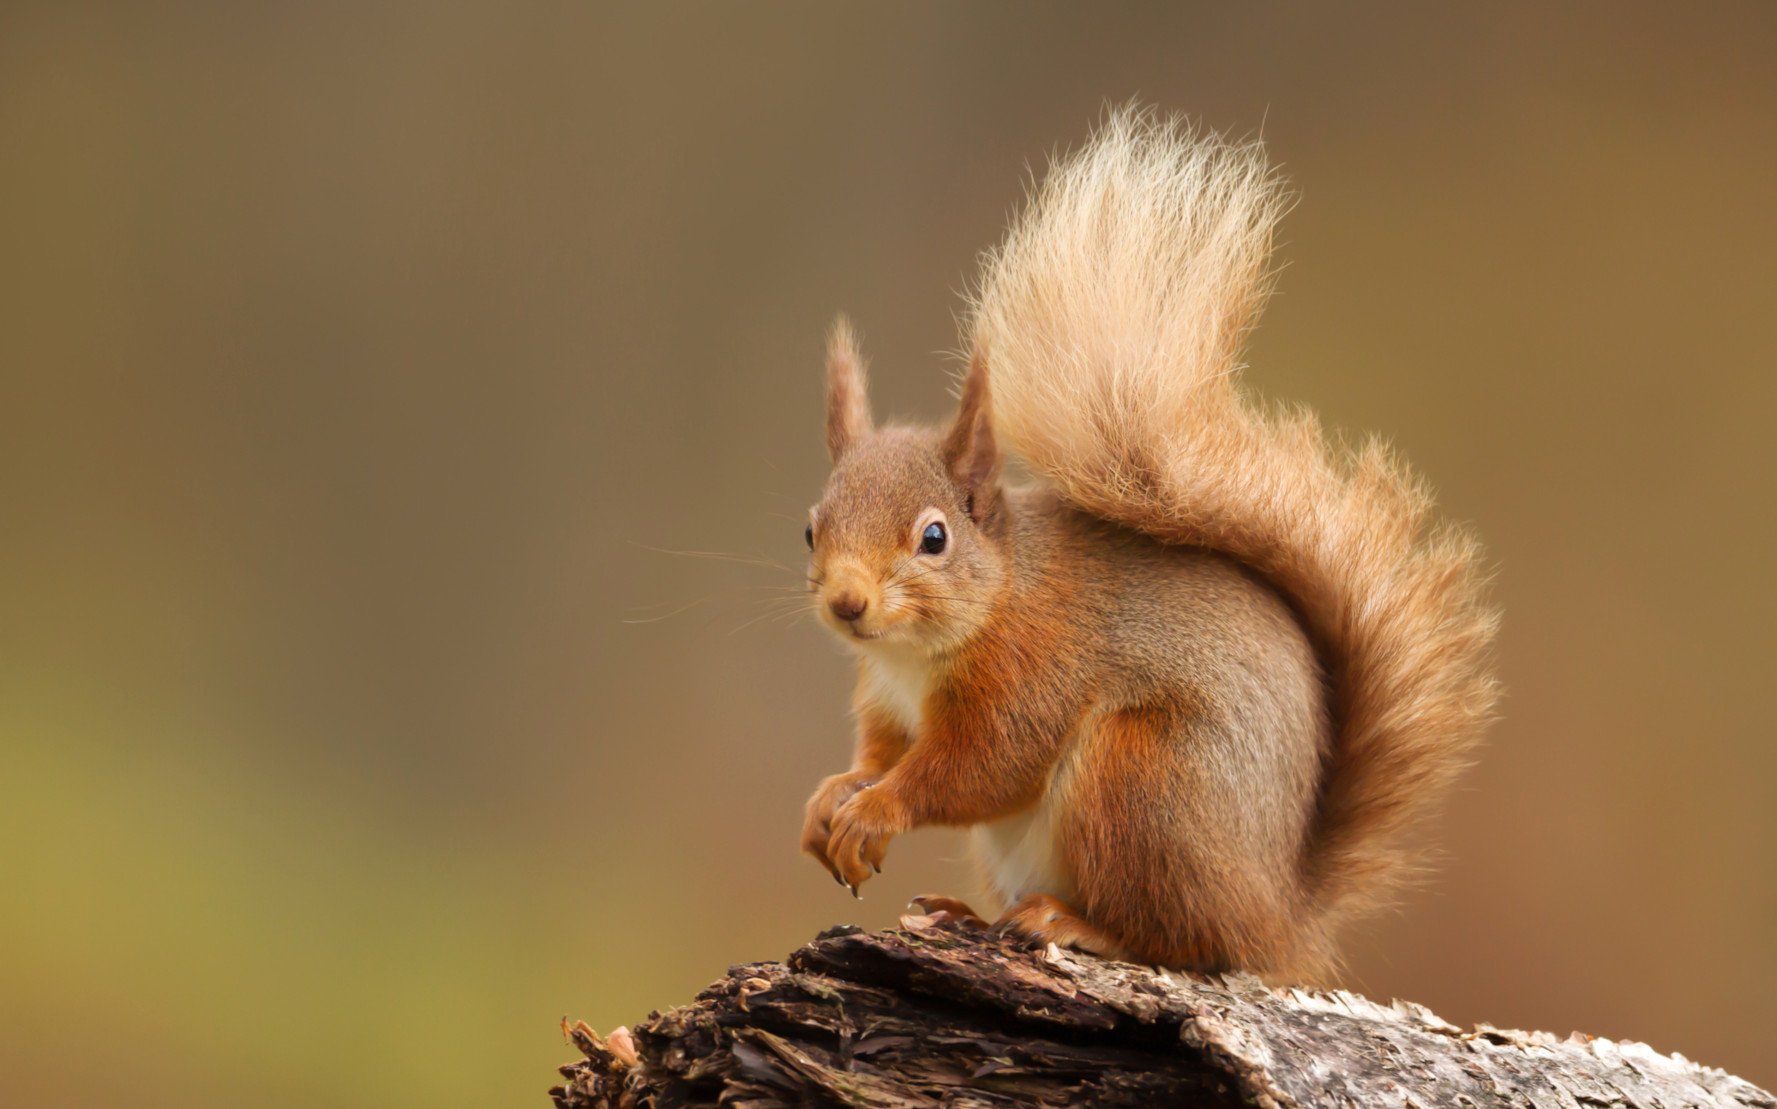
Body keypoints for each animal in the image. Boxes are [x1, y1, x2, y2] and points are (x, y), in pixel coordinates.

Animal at [797, 107, 1498, 982]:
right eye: (810, 527)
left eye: (933, 537)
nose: (847, 603)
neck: (922, 650)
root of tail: (1280, 914)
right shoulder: (888, 703)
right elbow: (880, 753)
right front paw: (833, 793)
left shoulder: (1031, 672)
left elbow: (980, 767)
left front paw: (878, 808)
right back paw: (966, 911)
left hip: (1141, 779)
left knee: (1182, 939)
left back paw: (1073, 923)